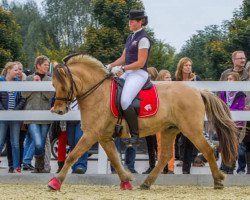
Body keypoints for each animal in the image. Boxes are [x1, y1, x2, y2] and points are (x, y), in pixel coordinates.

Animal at [48, 53, 238, 191]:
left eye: (63, 85)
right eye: (53, 84)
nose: (58, 111)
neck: (98, 92)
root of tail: (198, 91)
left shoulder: (91, 134)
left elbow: (72, 155)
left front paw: (55, 182)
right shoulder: (103, 136)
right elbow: (114, 159)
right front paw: (126, 180)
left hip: (191, 130)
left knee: (207, 150)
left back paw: (218, 181)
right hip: (170, 129)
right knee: (165, 156)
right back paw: (146, 183)